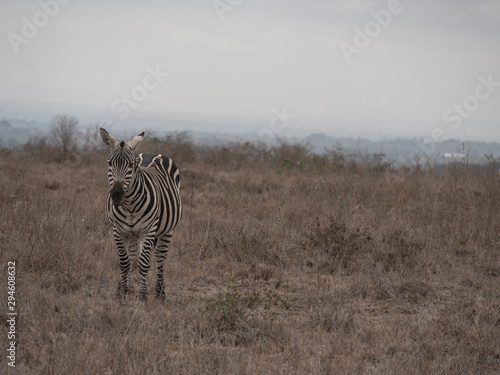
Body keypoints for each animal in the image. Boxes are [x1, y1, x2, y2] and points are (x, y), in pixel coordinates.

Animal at [99, 128, 182, 302]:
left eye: (131, 165)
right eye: (109, 163)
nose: (116, 195)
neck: (129, 206)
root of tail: (155, 153)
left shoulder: (148, 231)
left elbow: (144, 263)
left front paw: (143, 296)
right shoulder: (118, 231)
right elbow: (125, 262)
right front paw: (123, 292)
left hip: (167, 230)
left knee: (160, 258)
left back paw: (160, 292)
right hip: (131, 233)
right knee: (131, 258)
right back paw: (123, 286)